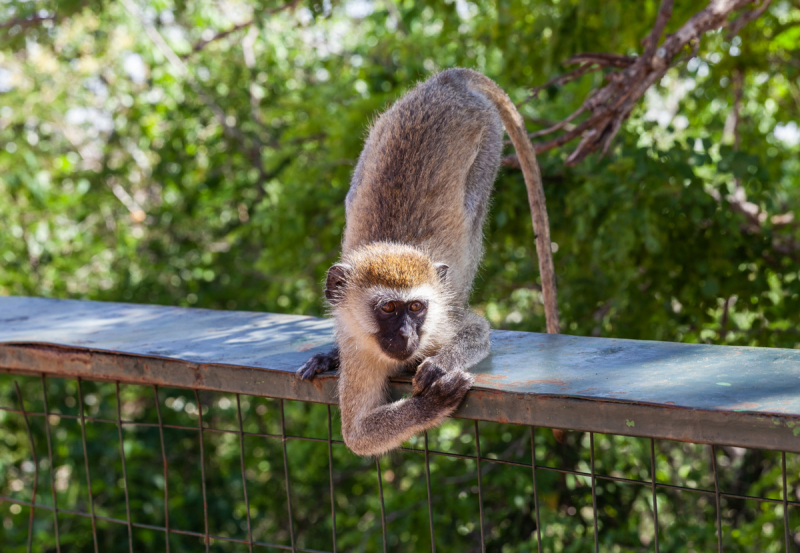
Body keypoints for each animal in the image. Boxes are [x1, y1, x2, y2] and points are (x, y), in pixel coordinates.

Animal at [296, 68, 552, 458]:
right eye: (388, 308)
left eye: (416, 307)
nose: (406, 335)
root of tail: (446, 81)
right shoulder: (359, 350)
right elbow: (357, 433)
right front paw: (429, 405)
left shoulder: (441, 323)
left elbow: (478, 330)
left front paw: (439, 365)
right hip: (381, 130)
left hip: (488, 133)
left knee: (473, 213)